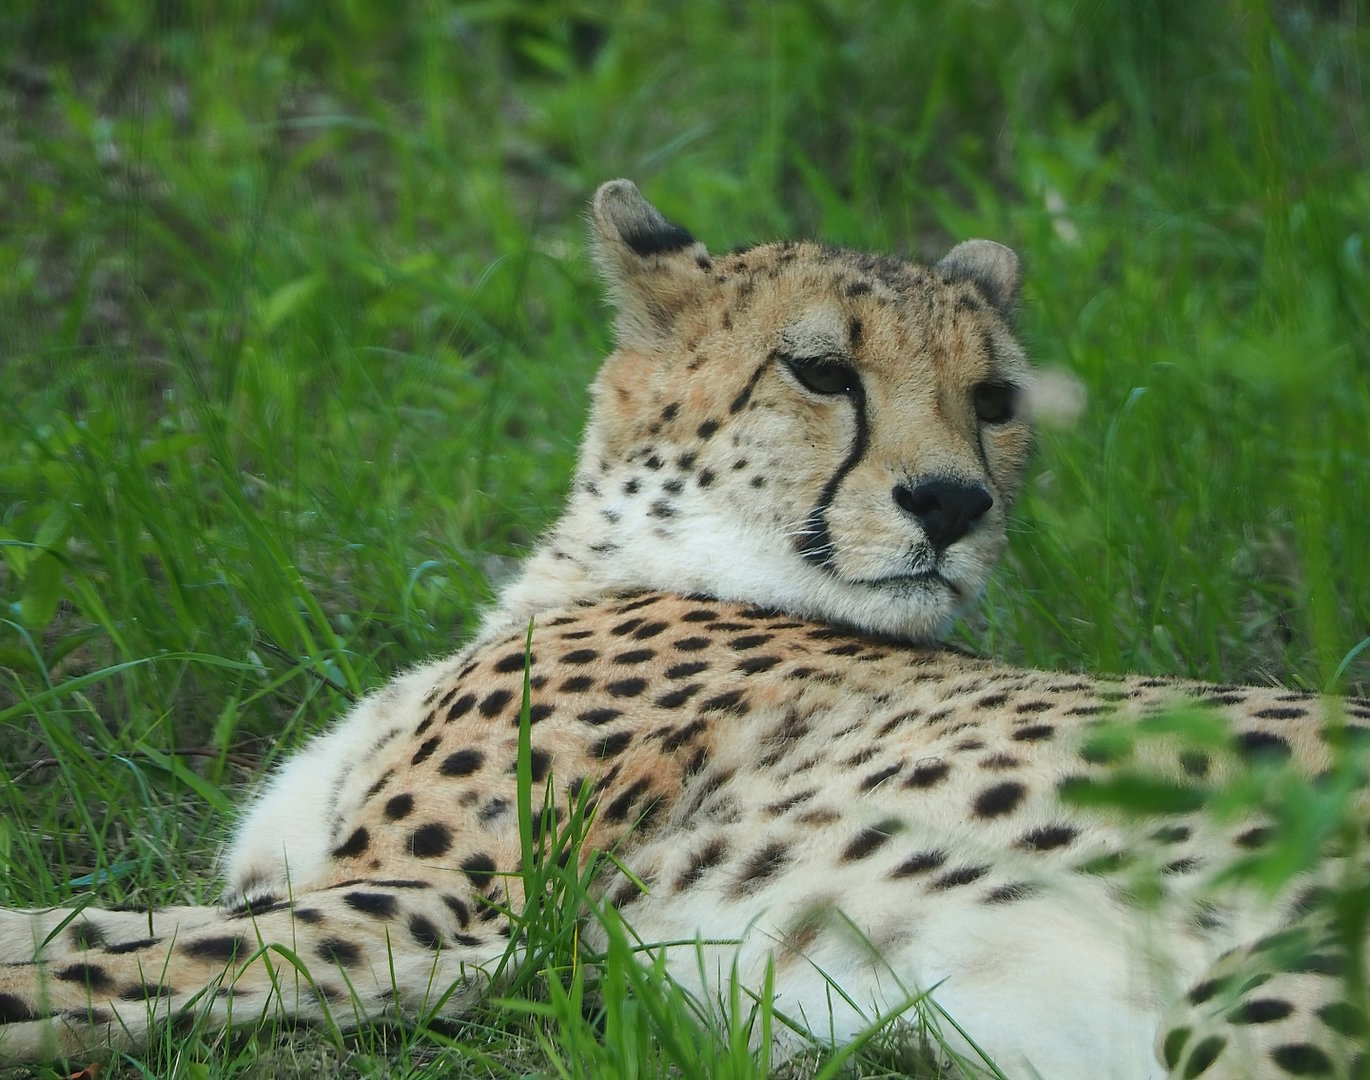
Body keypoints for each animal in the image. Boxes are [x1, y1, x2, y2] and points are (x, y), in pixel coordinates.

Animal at [2, 179, 1368, 1079]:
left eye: (991, 400)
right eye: (820, 372)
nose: (951, 503)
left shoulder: (448, 911)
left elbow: (92, 960)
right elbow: (78, 929)